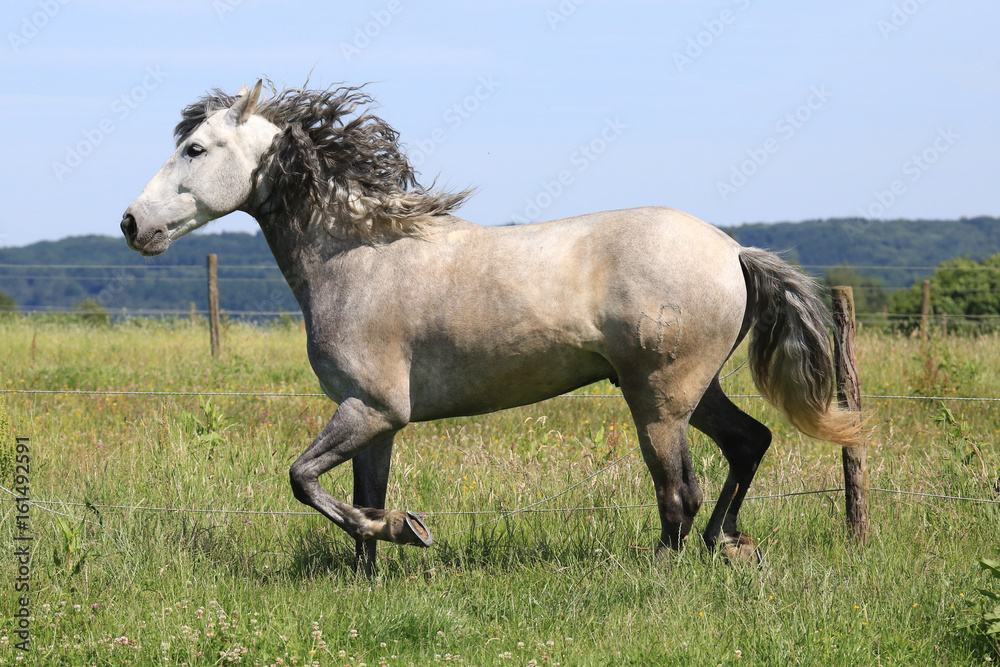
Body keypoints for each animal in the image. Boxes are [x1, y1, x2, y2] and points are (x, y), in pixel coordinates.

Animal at [121, 80, 863, 574]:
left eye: (196, 148)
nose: (132, 224)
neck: (357, 256)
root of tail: (732, 249)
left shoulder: (370, 408)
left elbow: (303, 480)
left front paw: (410, 529)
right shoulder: (375, 422)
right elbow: (360, 500)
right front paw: (372, 565)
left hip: (658, 400)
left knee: (679, 490)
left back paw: (661, 569)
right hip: (693, 392)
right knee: (748, 443)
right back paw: (728, 541)